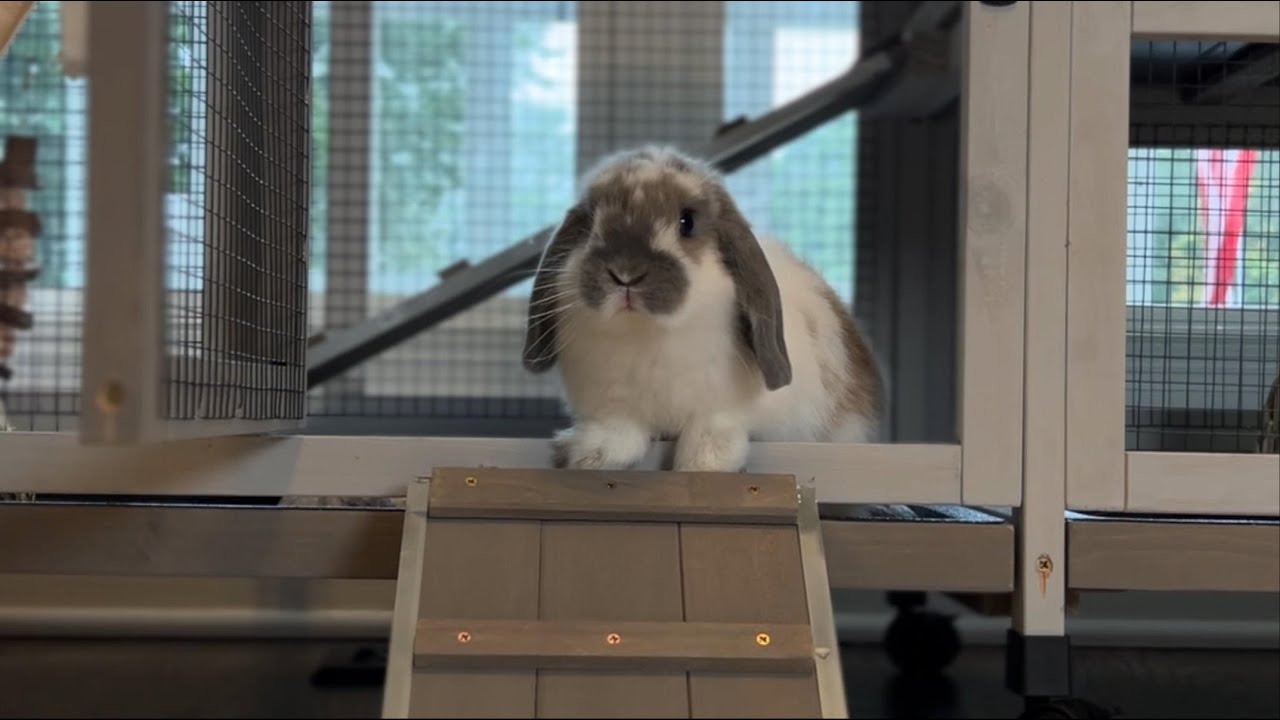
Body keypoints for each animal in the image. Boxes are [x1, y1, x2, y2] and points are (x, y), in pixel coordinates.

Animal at [522, 145, 885, 473]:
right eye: (591, 219)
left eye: (687, 222)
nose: (625, 273)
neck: (646, 333)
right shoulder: (614, 405)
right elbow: (621, 430)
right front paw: (591, 455)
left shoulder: (723, 406)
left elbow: (713, 424)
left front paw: (704, 462)